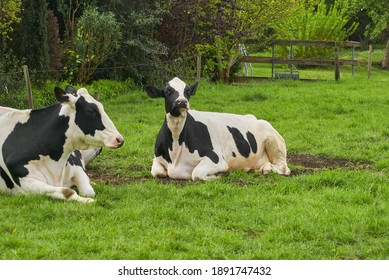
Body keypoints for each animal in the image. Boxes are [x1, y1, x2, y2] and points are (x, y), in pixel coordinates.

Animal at [144, 77, 290, 182]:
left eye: (188, 91)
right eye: (167, 91)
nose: (182, 101)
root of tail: (254, 117)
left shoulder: (217, 159)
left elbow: (196, 173)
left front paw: (219, 175)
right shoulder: (156, 158)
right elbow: (157, 172)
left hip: (273, 141)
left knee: (283, 167)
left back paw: (266, 168)